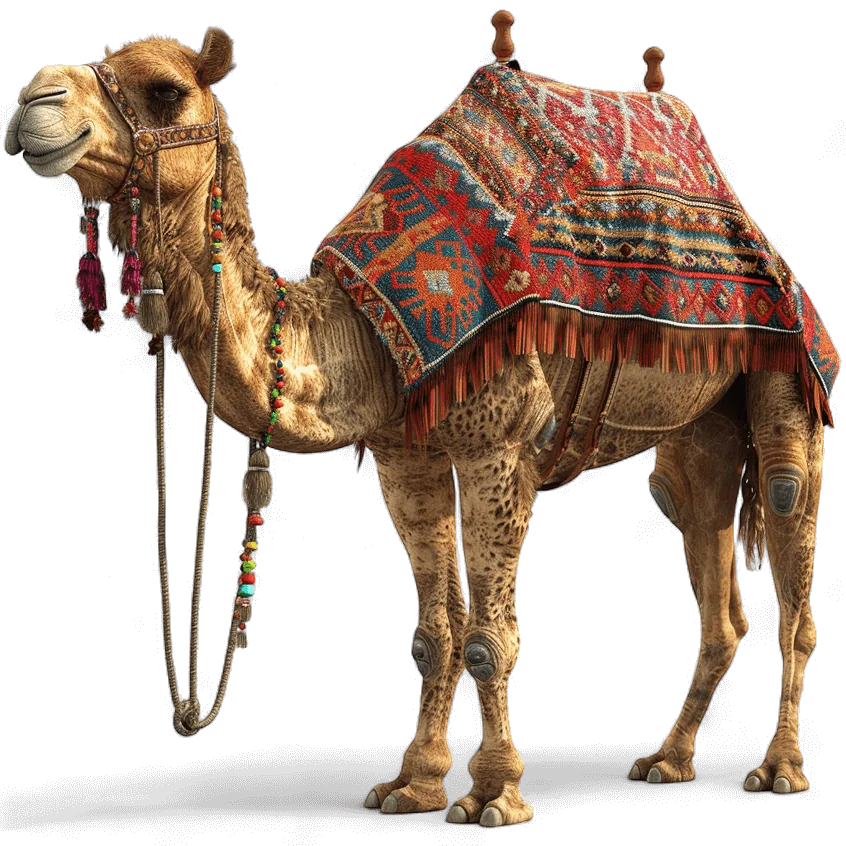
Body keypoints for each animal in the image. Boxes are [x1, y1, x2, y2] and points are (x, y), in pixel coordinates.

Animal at [5, 26, 835, 826]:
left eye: (165, 89)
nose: (32, 99)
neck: (365, 338)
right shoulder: (409, 459)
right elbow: (436, 634)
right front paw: (416, 783)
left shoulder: (497, 446)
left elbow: (489, 637)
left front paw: (497, 795)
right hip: (697, 433)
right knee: (712, 568)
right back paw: (667, 759)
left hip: (788, 370)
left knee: (790, 546)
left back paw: (780, 770)